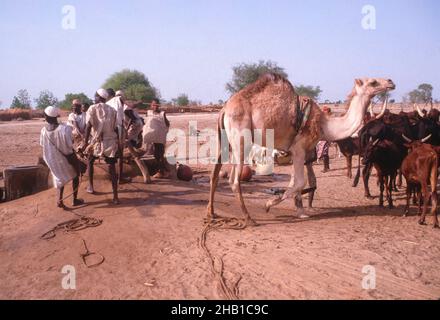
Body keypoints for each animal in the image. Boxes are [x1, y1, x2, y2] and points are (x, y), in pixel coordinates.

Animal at [206, 74, 396, 226]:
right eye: (372, 82)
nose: (391, 82)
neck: (325, 125)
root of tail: (224, 109)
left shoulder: (296, 152)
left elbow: (295, 181)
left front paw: (301, 211)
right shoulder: (298, 149)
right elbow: (300, 182)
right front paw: (269, 204)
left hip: (224, 138)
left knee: (214, 174)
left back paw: (211, 213)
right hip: (241, 139)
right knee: (234, 179)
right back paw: (248, 218)